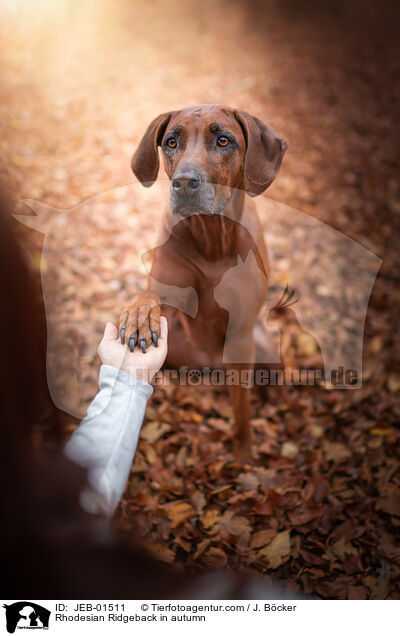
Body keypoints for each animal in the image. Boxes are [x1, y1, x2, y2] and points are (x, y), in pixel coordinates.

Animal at [119, 104, 288, 454]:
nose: (184, 183)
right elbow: (148, 297)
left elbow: (241, 406)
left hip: (262, 345)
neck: (211, 237)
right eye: (171, 142)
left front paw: (243, 451)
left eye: (223, 140)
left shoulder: (240, 332)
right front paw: (138, 316)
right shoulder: (167, 292)